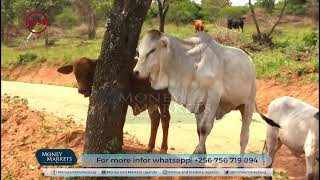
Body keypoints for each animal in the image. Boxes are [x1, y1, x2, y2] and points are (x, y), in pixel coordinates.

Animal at [134, 30, 278, 154]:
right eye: (139, 52)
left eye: (152, 50)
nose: (136, 72)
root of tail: (250, 61)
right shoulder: (198, 101)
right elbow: (199, 129)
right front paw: (201, 152)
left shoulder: (213, 97)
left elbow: (204, 128)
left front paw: (198, 152)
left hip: (248, 104)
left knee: (244, 136)